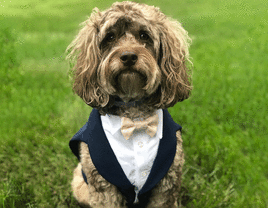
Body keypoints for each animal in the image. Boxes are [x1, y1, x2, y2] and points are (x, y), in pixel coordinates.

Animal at [67, 1, 193, 206]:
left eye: (144, 35)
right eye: (110, 37)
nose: (128, 56)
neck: (135, 118)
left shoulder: (166, 183)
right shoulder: (103, 186)